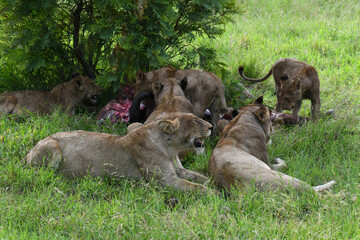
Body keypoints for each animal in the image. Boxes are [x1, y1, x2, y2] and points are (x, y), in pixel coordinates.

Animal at [26, 113, 217, 195]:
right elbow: (197, 187)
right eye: (194, 120)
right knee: (44, 175)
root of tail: (28, 153)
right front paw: (216, 195)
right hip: (52, 146)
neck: (170, 148)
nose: (211, 126)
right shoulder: (166, 182)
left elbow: (201, 178)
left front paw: (215, 185)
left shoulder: (179, 171)